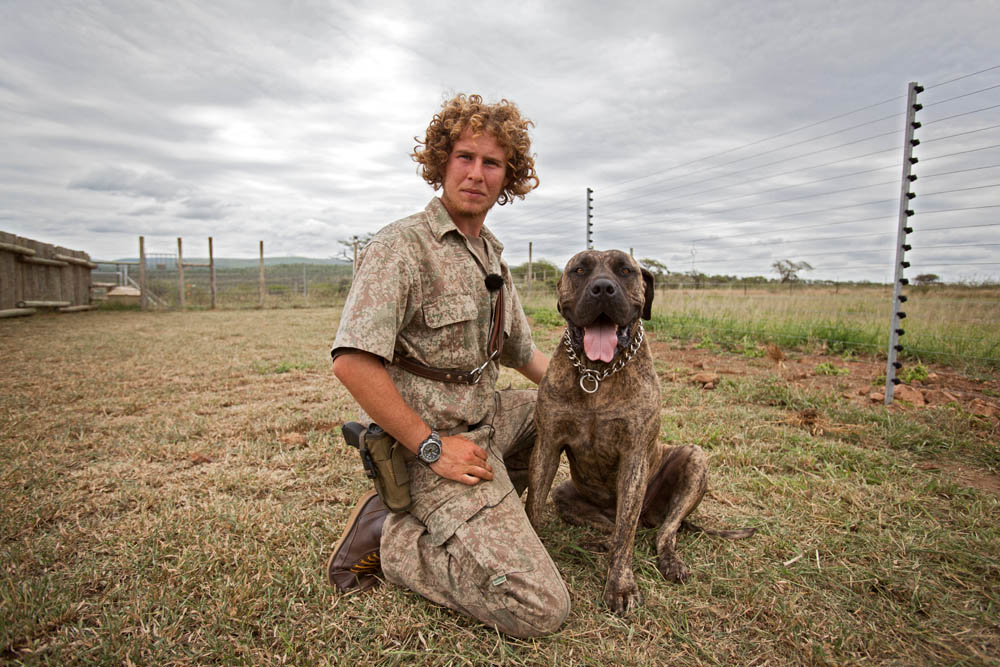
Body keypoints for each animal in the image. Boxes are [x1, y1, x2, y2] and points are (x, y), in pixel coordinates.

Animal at [528, 250, 752, 616]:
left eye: (625, 271)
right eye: (580, 269)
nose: (603, 288)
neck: (598, 373)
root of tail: (650, 515)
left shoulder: (634, 457)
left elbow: (626, 537)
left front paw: (620, 585)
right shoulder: (547, 445)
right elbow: (534, 506)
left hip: (693, 460)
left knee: (660, 530)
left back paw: (669, 560)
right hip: (568, 494)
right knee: (615, 526)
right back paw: (596, 541)